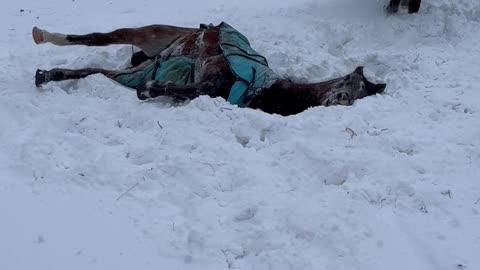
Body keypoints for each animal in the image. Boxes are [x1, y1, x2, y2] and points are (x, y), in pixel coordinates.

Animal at [32, 21, 386, 116]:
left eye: (360, 95)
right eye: (350, 79)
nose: (339, 99)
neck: (264, 89)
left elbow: (193, 91)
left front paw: (151, 90)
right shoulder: (214, 73)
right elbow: (196, 88)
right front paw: (152, 91)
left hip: (132, 71)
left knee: (91, 71)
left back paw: (47, 74)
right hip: (146, 33)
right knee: (95, 38)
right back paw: (43, 35)